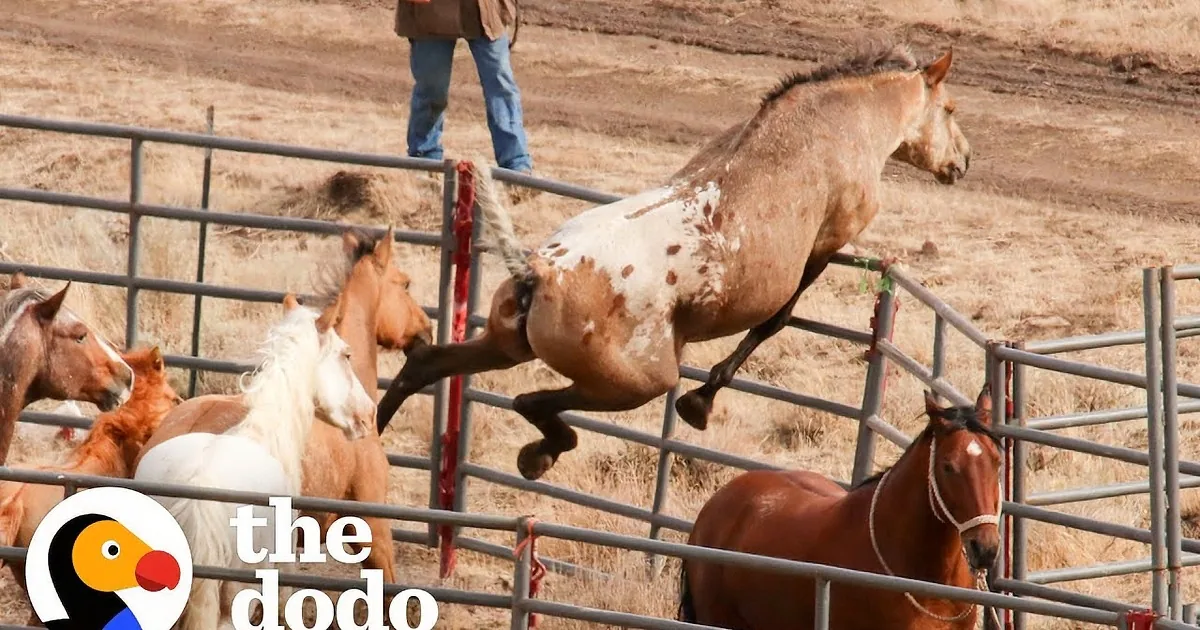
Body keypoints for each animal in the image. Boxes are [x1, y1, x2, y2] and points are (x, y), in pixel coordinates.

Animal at [373, 39, 972, 481]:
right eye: (948, 109)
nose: (963, 161)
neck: (837, 121)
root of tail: (539, 272)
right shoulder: (829, 242)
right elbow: (774, 321)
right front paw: (701, 403)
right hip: (639, 381)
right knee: (532, 402)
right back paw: (540, 453)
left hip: (504, 345)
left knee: (429, 366)